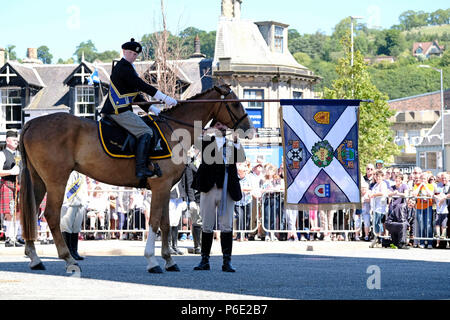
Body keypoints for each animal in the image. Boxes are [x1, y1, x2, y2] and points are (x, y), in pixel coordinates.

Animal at [20, 84, 253, 272]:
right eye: (235, 104)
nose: (249, 130)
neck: (172, 131)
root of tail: (32, 123)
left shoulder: (165, 189)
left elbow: (165, 224)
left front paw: (169, 260)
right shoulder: (160, 186)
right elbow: (155, 222)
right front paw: (152, 261)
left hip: (39, 181)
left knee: (31, 212)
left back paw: (35, 259)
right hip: (56, 181)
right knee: (51, 215)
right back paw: (68, 259)